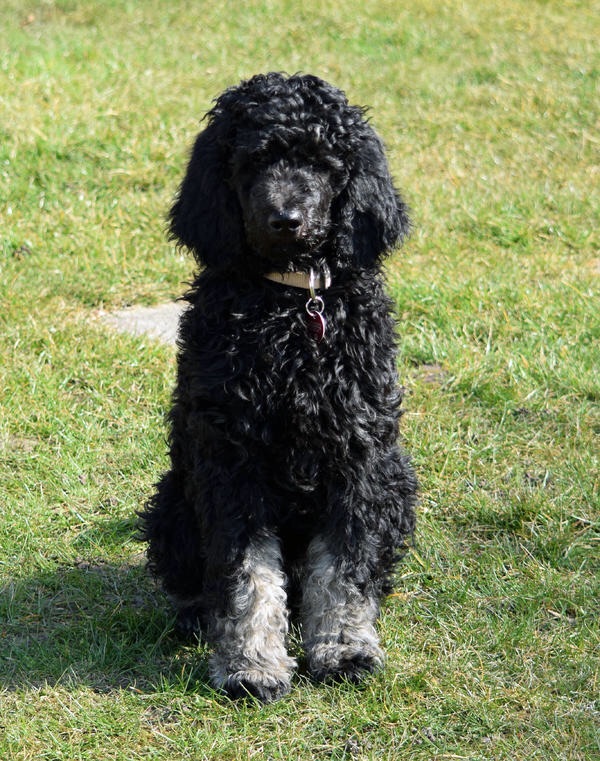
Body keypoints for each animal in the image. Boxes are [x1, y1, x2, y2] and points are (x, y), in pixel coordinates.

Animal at [141, 72, 417, 702]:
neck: (294, 306)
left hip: (398, 482)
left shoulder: (358, 457)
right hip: (174, 498)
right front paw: (251, 665)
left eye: (321, 162)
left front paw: (344, 649)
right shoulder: (232, 461)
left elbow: (344, 568)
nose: (285, 218)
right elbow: (247, 573)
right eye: (253, 161)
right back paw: (196, 615)